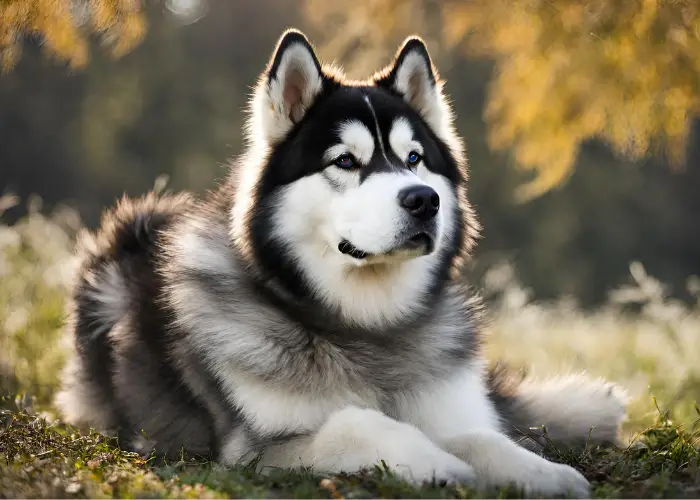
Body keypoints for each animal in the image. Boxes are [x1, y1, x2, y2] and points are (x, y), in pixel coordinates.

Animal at [53, 30, 624, 496]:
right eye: (345, 161)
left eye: (415, 159)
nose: (423, 201)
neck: (365, 325)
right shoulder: (254, 451)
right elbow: (358, 423)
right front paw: (434, 461)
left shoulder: (448, 408)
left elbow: (483, 438)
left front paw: (541, 472)